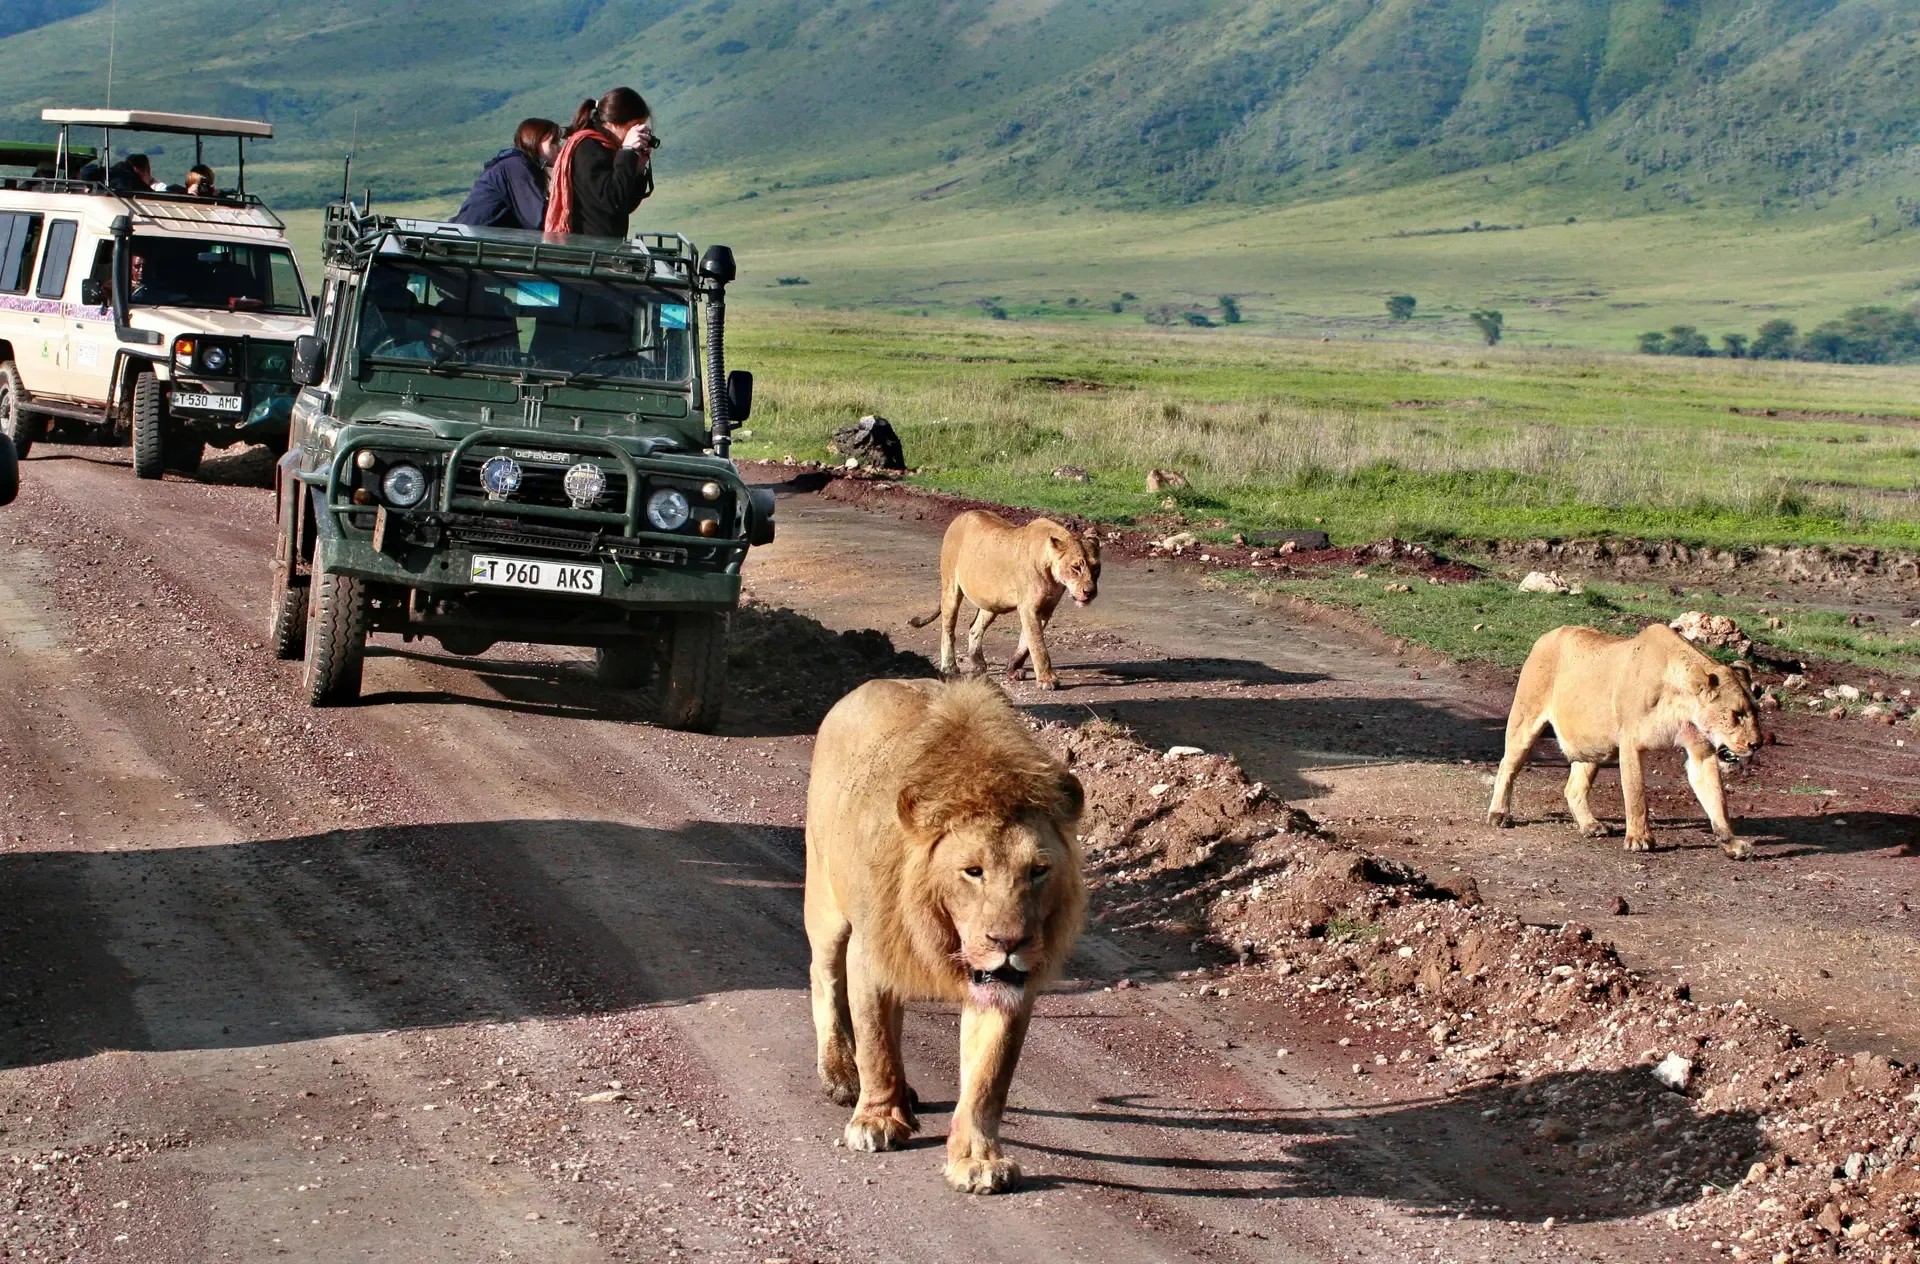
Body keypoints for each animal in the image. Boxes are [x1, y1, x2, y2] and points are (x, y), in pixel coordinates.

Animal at [804, 676, 1087, 1194]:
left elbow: (988, 1077)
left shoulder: (1009, 988)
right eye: (973, 871)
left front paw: (977, 1159)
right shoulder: (871, 952)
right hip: (827, 903)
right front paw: (876, 1120)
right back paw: (841, 1074)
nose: (1009, 943)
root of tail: (861, 688)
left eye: (1038, 871)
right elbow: (875, 1041)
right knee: (825, 977)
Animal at [907, 510, 1100, 690]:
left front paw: (1013, 668)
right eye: (1076, 567)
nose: (1090, 592)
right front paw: (1047, 679)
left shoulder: (1046, 608)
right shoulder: (1029, 608)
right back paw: (949, 666)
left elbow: (1026, 642)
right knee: (948, 629)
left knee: (974, 628)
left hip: (991, 602)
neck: (1052, 572)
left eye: (1096, 568)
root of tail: (961, 515)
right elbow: (1038, 645)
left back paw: (978, 663)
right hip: (951, 589)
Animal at [1486, 623, 1763, 858]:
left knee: (1573, 788)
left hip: (1594, 744)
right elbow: (1636, 793)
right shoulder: (1631, 742)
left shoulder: (1701, 751)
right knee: (1506, 766)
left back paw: (1590, 825)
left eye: (1756, 711)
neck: (1682, 701)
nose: (1757, 744)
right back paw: (1499, 814)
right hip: (1525, 721)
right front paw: (1639, 839)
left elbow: (1717, 799)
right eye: (1737, 714)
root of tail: (1547, 634)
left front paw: (1731, 842)